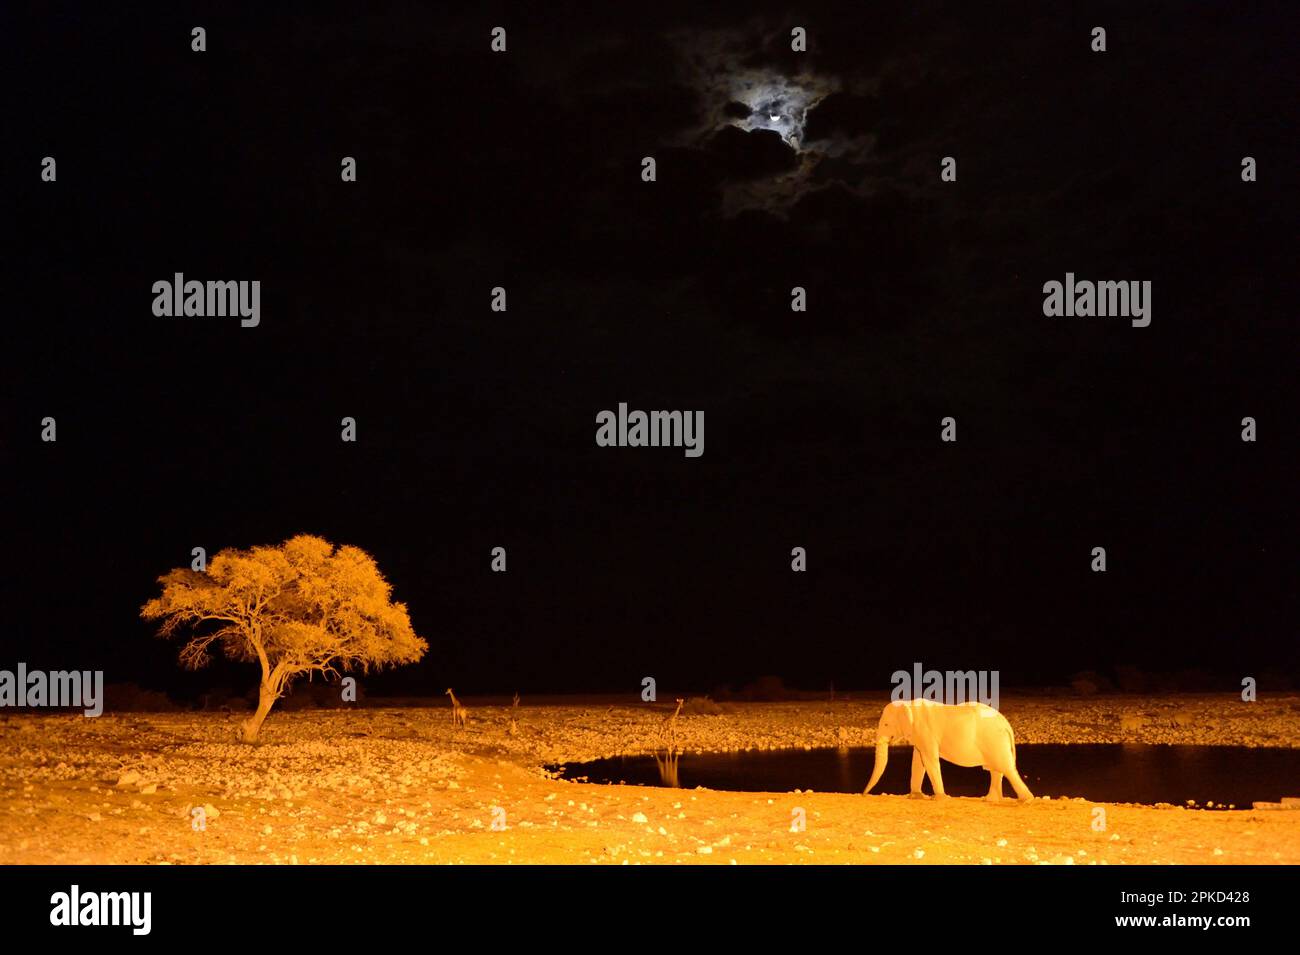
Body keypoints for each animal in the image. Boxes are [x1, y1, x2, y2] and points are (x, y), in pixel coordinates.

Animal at [863, 696, 1034, 805]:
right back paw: (990, 800)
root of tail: (1006, 724)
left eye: (886, 725)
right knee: (996, 770)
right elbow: (918, 761)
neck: (908, 704)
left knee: (1006, 768)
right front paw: (916, 797)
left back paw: (1026, 800)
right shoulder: (919, 735)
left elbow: (929, 760)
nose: (864, 794)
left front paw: (939, 799)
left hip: (994, 739)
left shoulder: (926, 732)